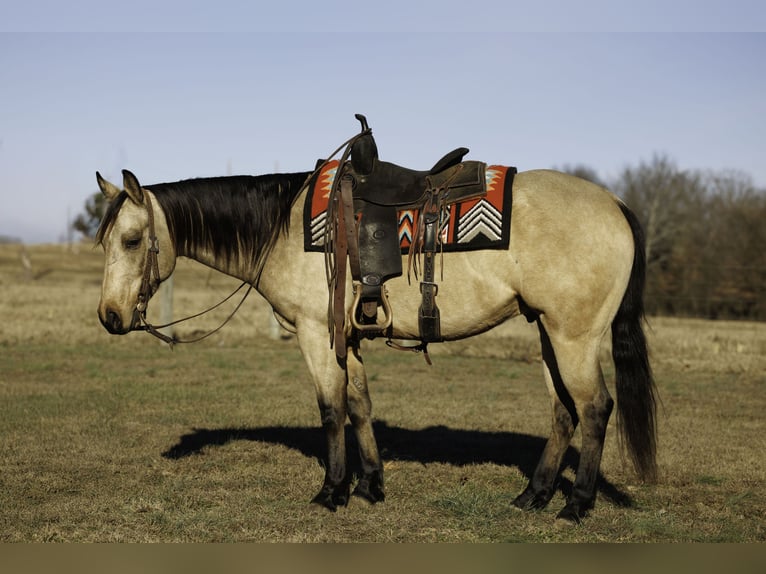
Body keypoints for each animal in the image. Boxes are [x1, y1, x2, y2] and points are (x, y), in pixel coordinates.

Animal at [95, 160, 657, 524]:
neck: (284, 228)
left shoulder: (316, 334)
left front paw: (332, 491)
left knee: (594, 408)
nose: (110, 316)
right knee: (563, 412)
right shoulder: (349, 338)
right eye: (104, 241)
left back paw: (576, 504)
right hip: (547, 332)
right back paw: (533, 496)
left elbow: (330, 409)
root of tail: (614, 202)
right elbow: (360, 405)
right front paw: (369, 484)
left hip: (574, 337)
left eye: (131, 240)